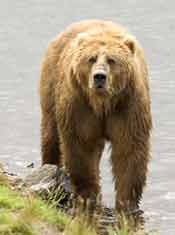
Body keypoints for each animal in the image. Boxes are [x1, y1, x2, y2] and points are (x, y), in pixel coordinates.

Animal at [39, 19, 152, 211]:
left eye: (112, 60)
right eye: (91, 58)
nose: (99, 76)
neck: (102, 103)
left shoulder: (128, 106)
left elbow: (129, 149)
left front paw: (127, 203)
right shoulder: (80, 105)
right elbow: (81, 147)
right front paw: (88, 194)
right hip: (51, 82)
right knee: (51, 134)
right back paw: (50, 166)